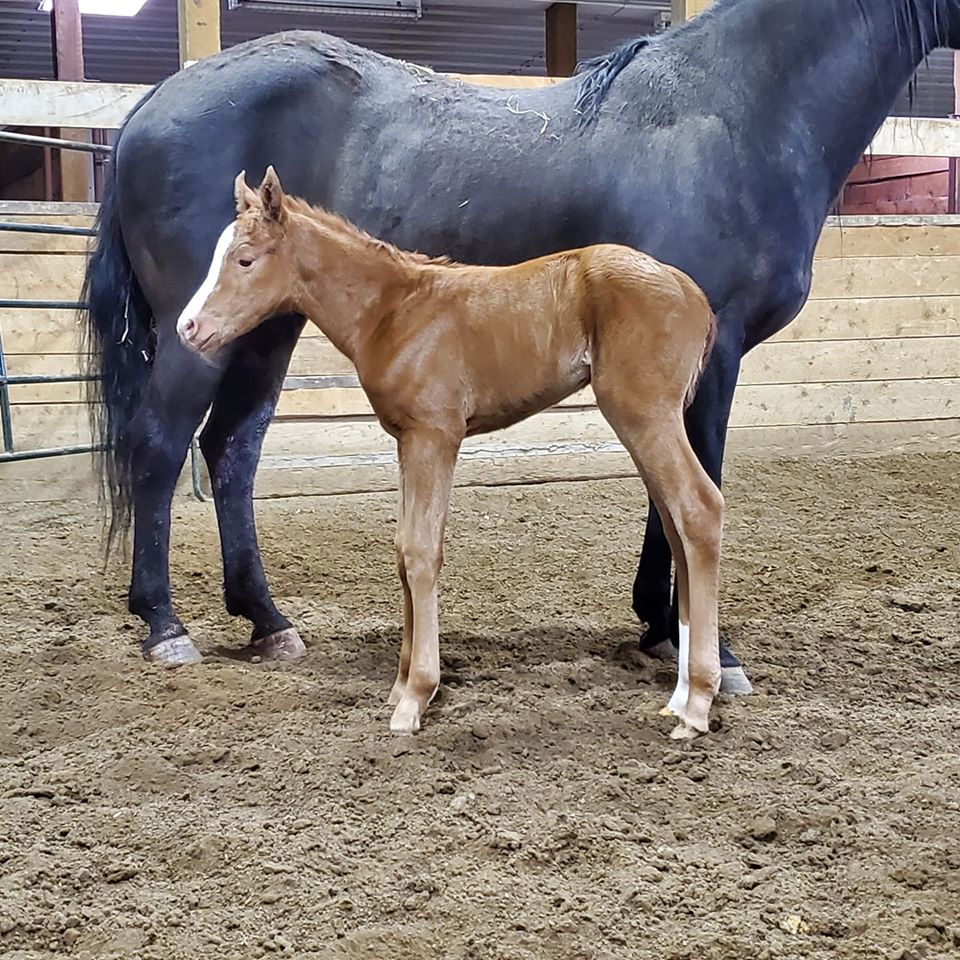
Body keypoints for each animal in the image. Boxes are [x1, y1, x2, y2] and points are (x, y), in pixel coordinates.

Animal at [81, 0, 960, 679]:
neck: (738, 107)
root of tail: (152, 104)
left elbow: (666, 488)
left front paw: (656, 624)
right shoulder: (717, 354)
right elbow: (694, 482)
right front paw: (699, 642)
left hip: (265, 327)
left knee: (231, 449)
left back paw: (267, 619)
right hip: (198, 336)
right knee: (160, 448)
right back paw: (164, 625)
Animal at [176, 167, 723, 737]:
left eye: (244, 259)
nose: (188, 328)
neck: (393, 311)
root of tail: (693, 292)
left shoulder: (434, 436)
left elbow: (422, 552)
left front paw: (415, 698)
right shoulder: (407, 440)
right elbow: (403, 551)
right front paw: (399, 686)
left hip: (644, 414)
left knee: (700, 510)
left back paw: (699, 702)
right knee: (677, 525)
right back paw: (679, 697)